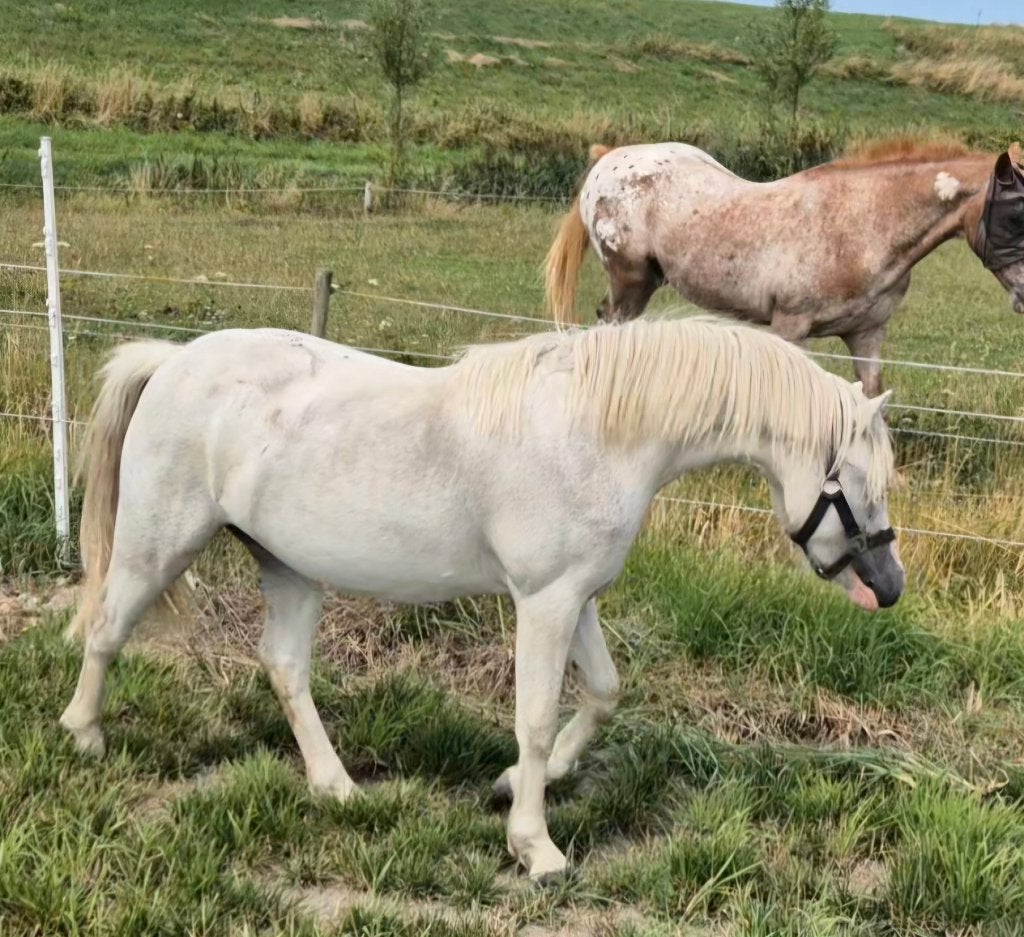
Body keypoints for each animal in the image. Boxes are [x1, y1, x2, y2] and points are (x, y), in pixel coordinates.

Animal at [60, 317, 903, 881]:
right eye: (857, 478)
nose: (889, 587)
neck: (596, 431)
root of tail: (173, 362)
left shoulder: (577, 596)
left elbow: (603, 692)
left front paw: (520, 782)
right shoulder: (545, 601)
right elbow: (535, 717)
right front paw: (536, 845)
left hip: (289, 566)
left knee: (285, 667)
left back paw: (337, 787)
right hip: (159, 542)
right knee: (107, 626)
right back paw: (84, 736)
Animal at [544, 140, 1024, 397]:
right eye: (1015, 215)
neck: (861, 226)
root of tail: (610, 156)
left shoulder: (868, 335)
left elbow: (872, 397)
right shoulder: (791, 328)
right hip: (631, 281)